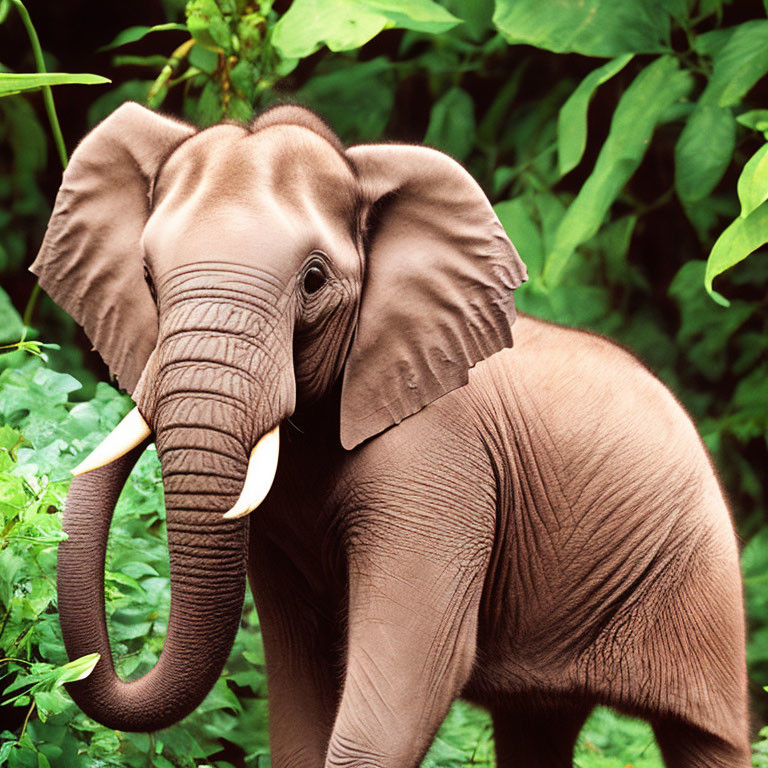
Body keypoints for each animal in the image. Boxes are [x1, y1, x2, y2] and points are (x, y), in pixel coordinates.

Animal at [33, 103, 748, 768]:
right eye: (147, 278)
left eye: (313, 280)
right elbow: (300, 682)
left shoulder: (441, 460)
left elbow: (417, 675)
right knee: (535, 722)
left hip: (701, 582)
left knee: (704, 738)